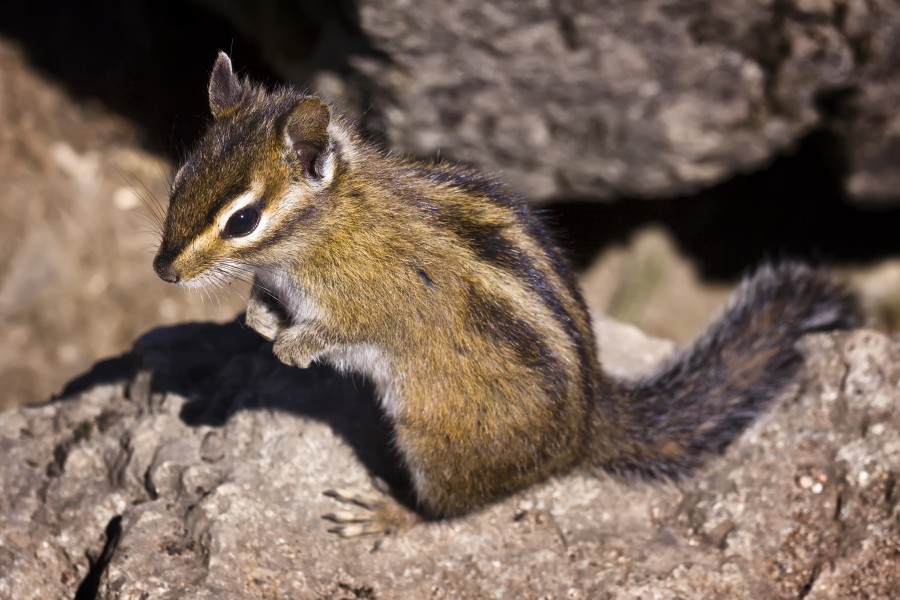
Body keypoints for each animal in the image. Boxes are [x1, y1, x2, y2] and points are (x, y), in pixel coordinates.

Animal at [153, 52, 860, 536]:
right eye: (181, 177)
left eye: (243, 219)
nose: (164, 271)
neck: (332, 226)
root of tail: (586, 432)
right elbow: (264, 306)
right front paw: (258, 319)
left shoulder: (376, 299)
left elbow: (347, 329)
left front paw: (293, 347)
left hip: (437, 442)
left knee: (447, 511)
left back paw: (388, 512)